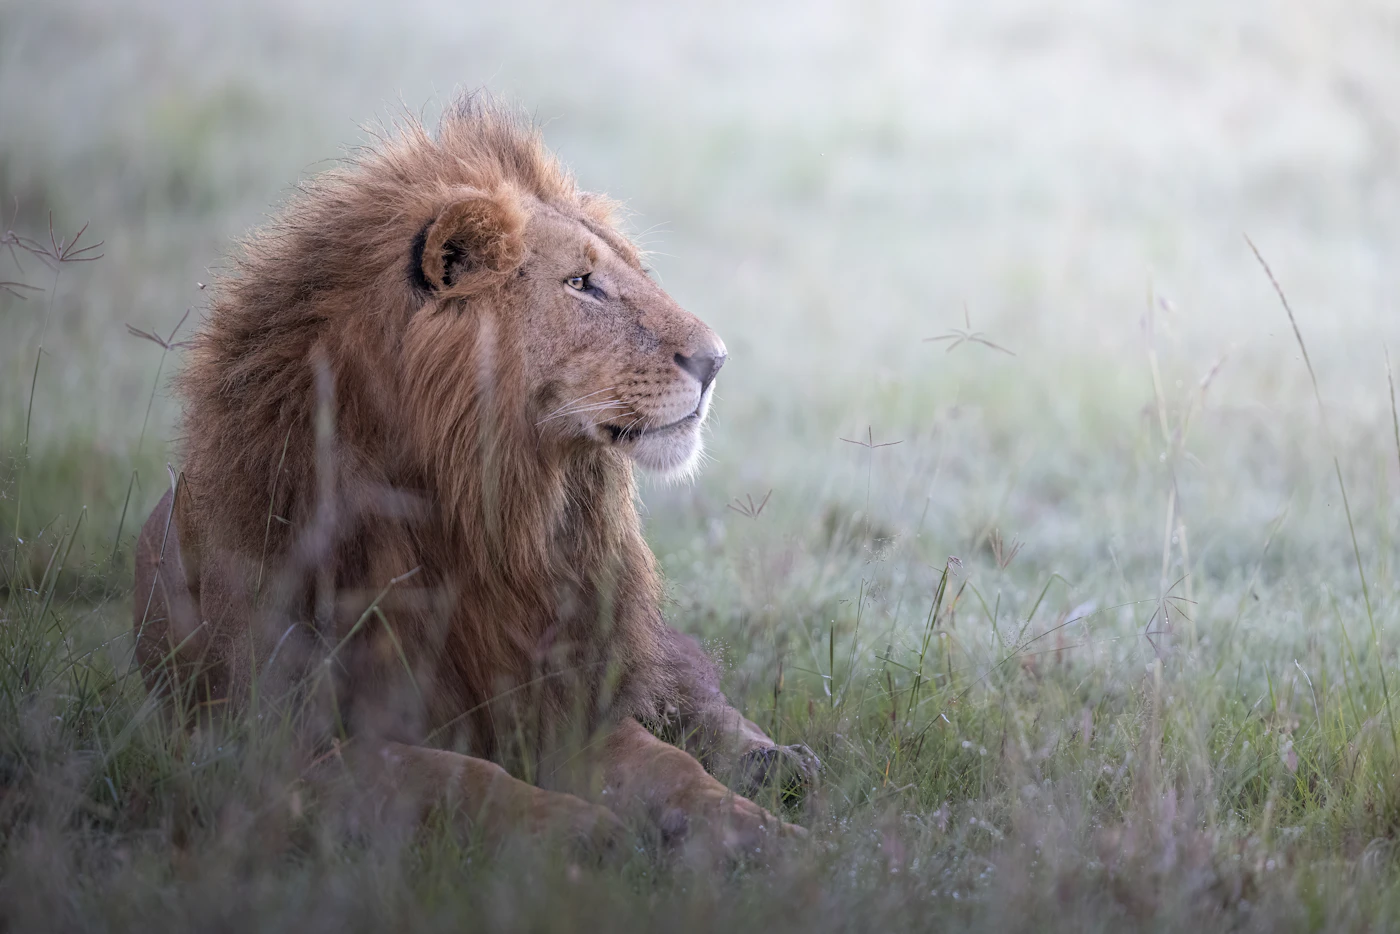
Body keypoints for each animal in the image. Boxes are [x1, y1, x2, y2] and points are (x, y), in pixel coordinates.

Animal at [132, 96, 816, 857]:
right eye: (581, 284)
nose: (717, 360)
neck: (486, 517)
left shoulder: (562, 700)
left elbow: (674, 767)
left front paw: (768, 837)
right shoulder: (281, 749)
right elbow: (455, 776)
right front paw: (582, 831)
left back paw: (777, 763)